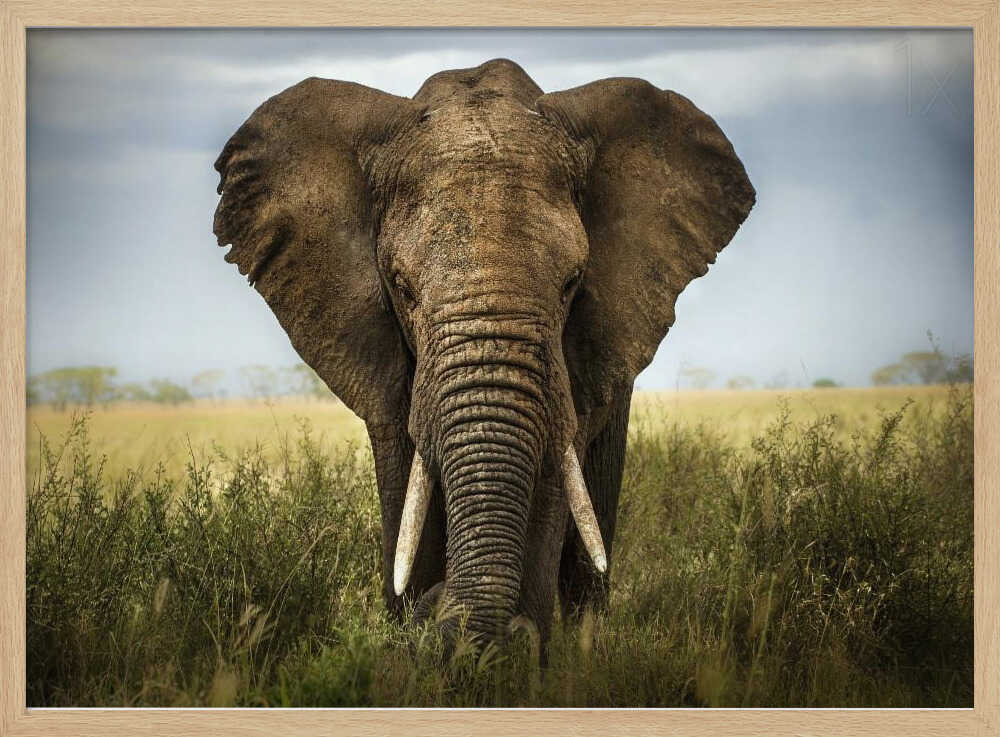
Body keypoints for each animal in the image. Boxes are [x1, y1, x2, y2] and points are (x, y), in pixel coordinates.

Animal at [213, 58, 754, 652]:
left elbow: (552, 478)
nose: (437, 610)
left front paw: (516, 650)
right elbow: (406, 484)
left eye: (572, 283)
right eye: (401, 287)